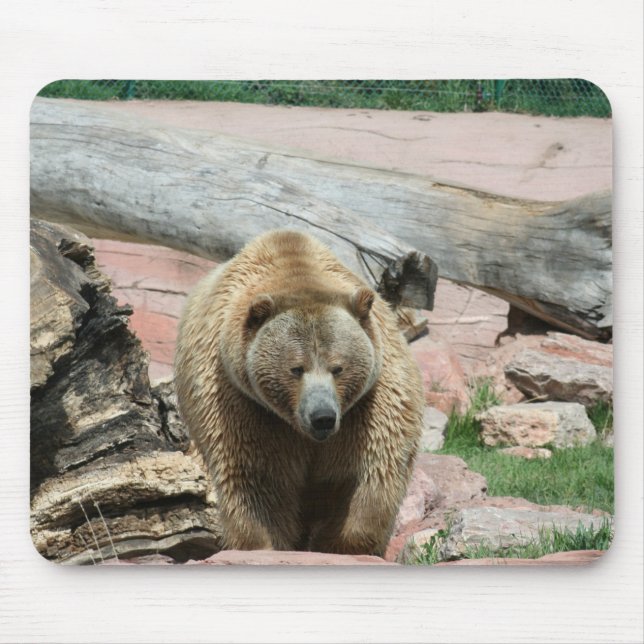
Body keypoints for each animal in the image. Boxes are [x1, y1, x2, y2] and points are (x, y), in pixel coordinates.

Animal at [174, 230, 423, 556]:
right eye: (296, 368)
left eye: (337, 367)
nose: (322, 417)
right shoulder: (243, 403)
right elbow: (257, 479)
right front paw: (265, 543)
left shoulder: (369, 405)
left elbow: (367, 472)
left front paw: (343, 544)